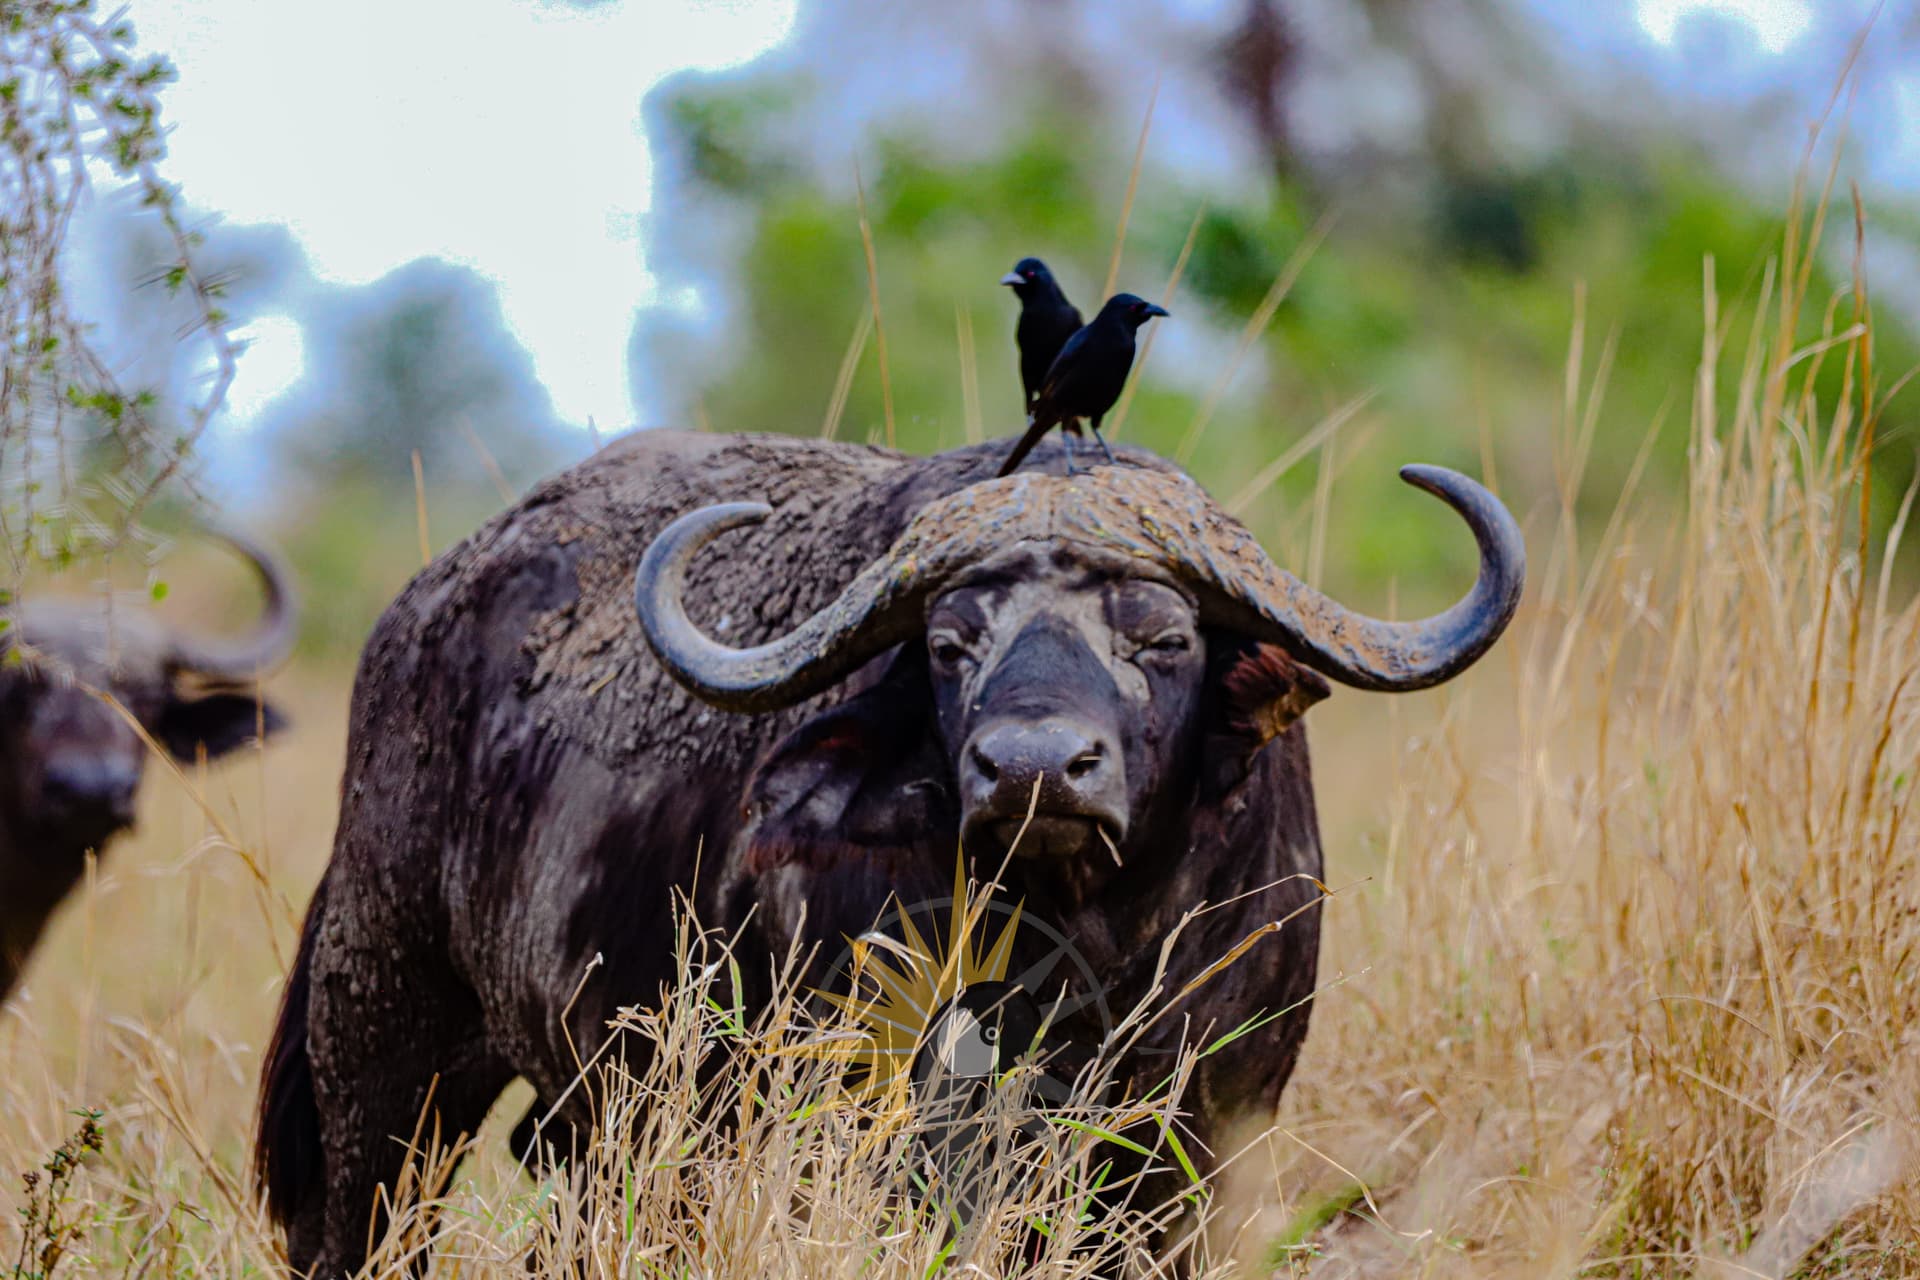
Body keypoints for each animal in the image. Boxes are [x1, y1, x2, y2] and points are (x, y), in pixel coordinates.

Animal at [257, 431, 1522, 1277]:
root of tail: (419, 614)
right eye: (952, 643)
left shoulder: (1199, 1141)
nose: (1033, 767)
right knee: (361, 1214)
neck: (1090, 944)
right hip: (381, 1037)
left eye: (1163, 637)